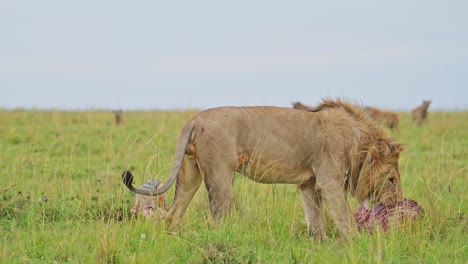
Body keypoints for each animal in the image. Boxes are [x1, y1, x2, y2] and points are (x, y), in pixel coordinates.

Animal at [122, 98, 404, 239]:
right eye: (391, 179)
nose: (399, 201)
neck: (357, 144)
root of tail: (195, 118)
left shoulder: (309, 184)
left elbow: (316, 221)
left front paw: (321, 245)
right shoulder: (330, 181)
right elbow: (345, 219)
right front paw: (358, 245)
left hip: (190, 173)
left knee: (173, 215)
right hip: (221, 173)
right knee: (218, 216)